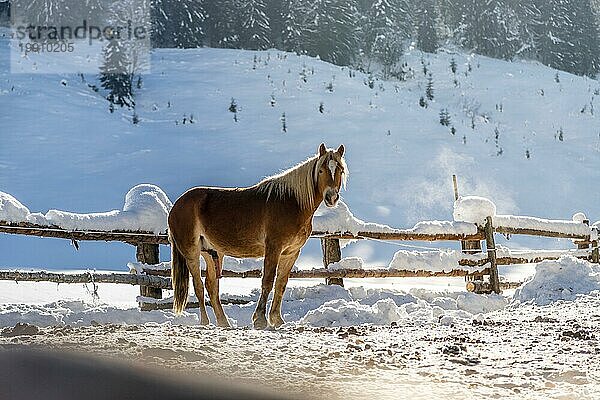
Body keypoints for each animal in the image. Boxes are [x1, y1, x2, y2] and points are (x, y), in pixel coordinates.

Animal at [168, 144, 346, 328]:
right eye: (321, 170)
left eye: (340, 170)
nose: (331, 197)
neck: (291, 202)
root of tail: (177, 205)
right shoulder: (274, 248)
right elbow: (267, 281)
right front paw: (260, 319)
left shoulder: (291, 253)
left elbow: (281, 283)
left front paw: (277, 319)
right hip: (192, 252)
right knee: (198, 286)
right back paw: (205, 322)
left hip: (212, 253)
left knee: (211, 286)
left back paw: (224, 323)